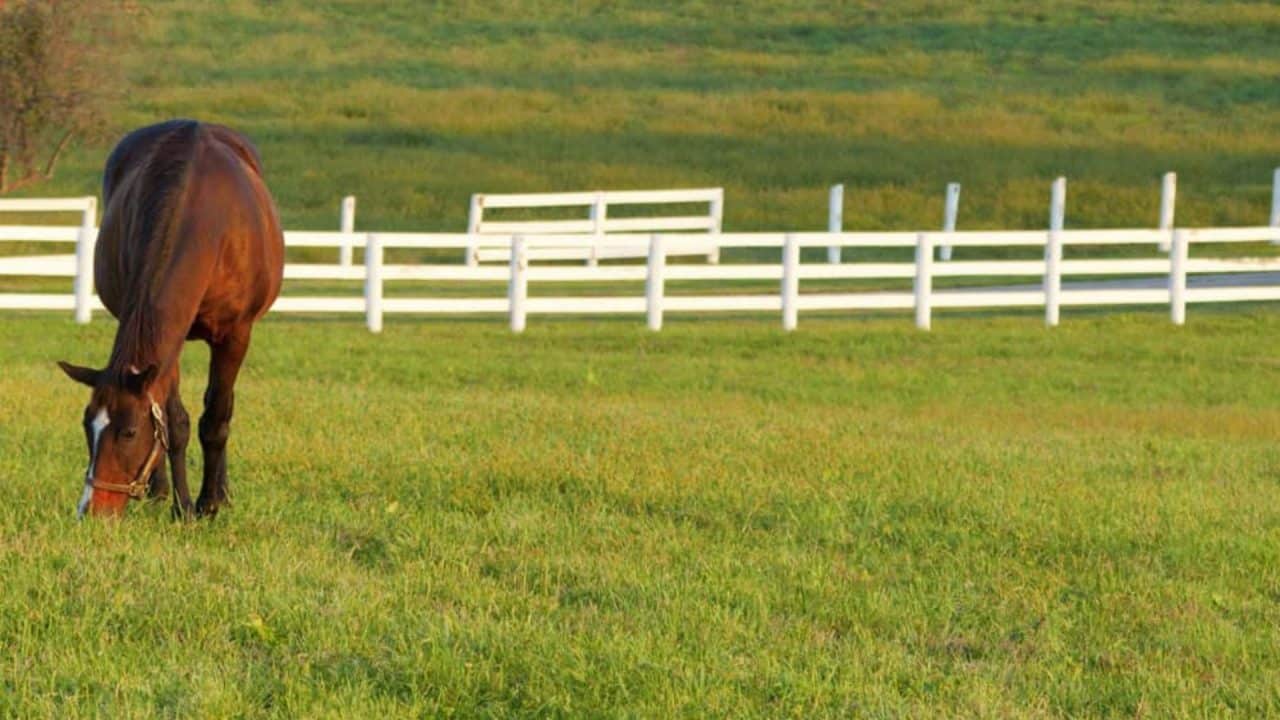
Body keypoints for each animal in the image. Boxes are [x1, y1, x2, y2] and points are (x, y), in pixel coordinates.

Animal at [58, 119, 284, 519]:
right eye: (87, 425)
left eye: (129, 432)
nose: (92, 509)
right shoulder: (170, 340)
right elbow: (173, 422)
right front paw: (182, 506)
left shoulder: (235, 334)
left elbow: (216, 417)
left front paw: (208, 503)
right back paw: (160, 491)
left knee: (222, 406)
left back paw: (221, 491)